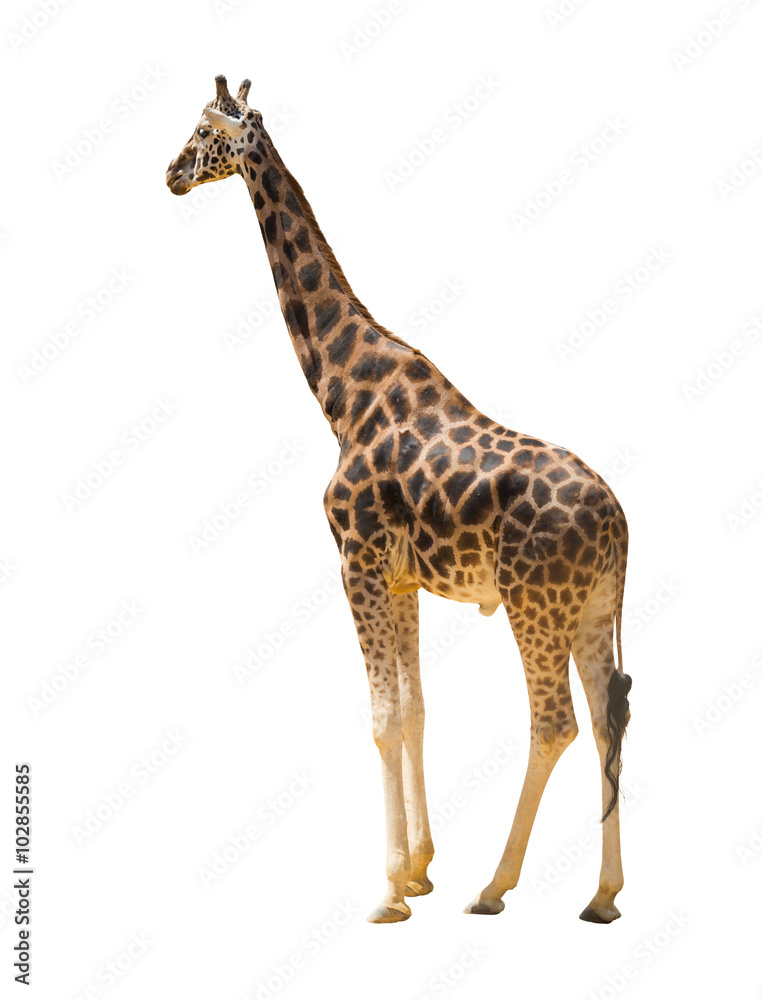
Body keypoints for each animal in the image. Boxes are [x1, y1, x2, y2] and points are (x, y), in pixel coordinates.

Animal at [167, 76, 633, 925]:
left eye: (205, 132)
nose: (170, 174)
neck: (341, 393)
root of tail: (620, 521)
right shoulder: (399, 576)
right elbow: (414, 708)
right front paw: (418, 869)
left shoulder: (354, 562)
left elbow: (383, 716)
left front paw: (388, 891)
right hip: (589, 607)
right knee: (607, 720)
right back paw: (603, 896)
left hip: (534, 604)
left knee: (553, 723)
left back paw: (495, 885)